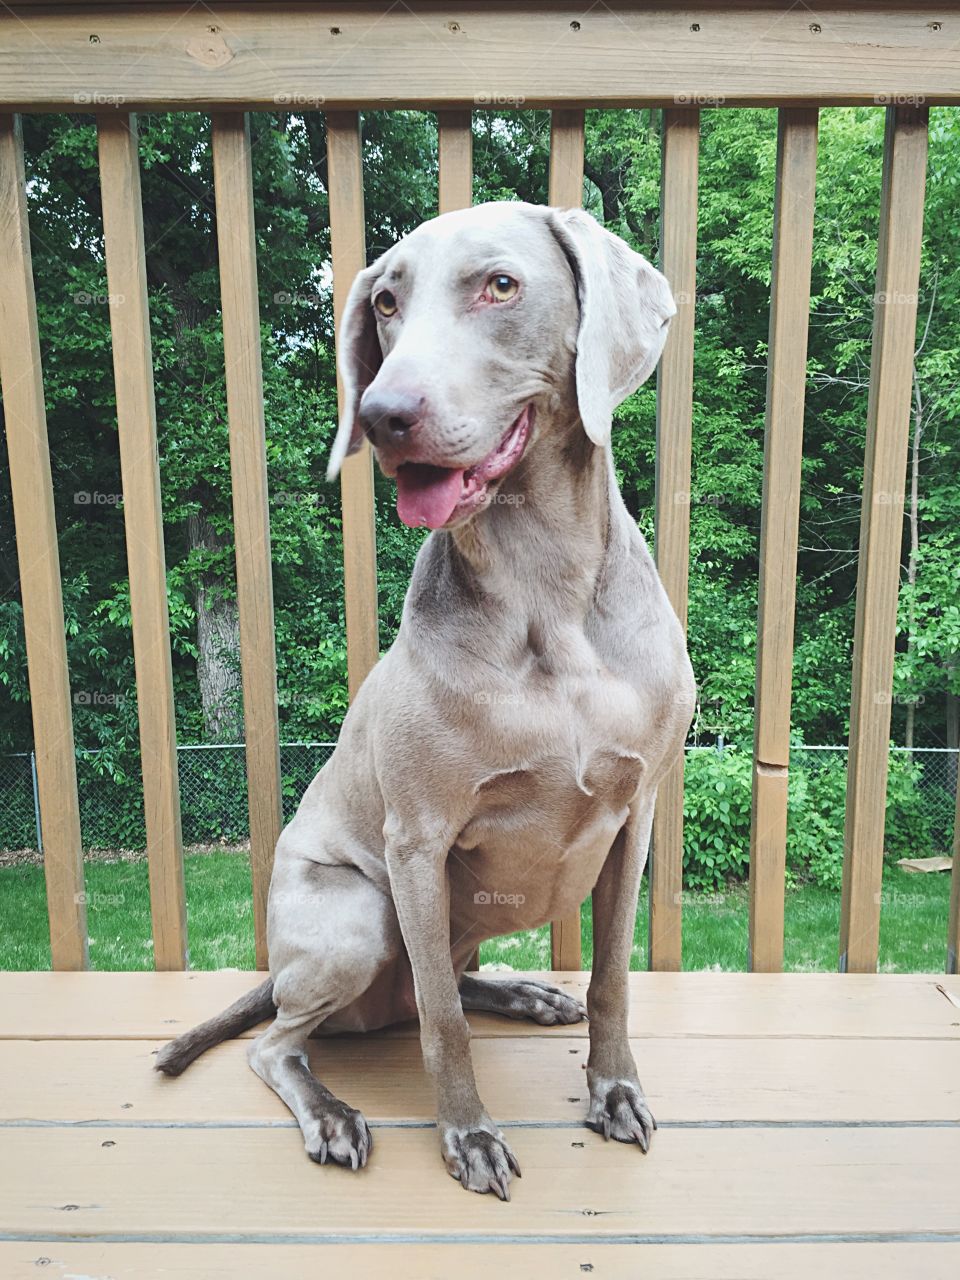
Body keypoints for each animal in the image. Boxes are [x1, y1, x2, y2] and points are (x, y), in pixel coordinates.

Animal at [160, 199, 701, 1198]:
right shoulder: (418, 840)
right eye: (384, 303)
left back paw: (523, 992)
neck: (544, 596)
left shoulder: (635, 813)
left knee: (429, 985)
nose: (381, 415)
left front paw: (613, 1091)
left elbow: (612, 975)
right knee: (294, 1037)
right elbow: (446, 1027)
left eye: (501, 285)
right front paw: (469, 1136)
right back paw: (332, 1113)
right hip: (359, 917)